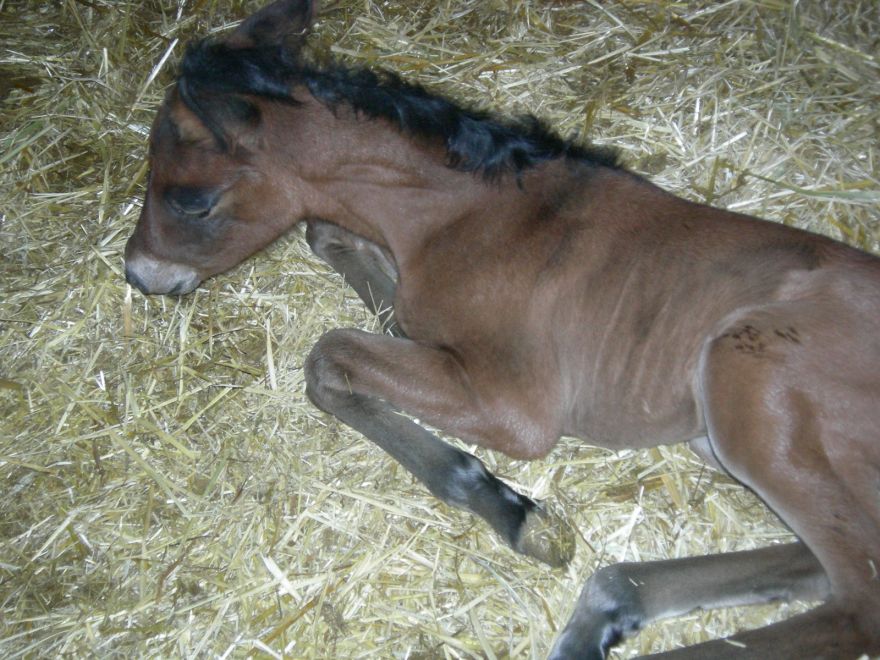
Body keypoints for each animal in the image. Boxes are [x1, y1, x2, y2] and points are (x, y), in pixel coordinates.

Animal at [124, 2, 880, 656]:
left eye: (190, 200)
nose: (137, 273)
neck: (476, 217)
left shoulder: (517, 406)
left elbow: (328, 355)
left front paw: (508, 504)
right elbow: (333, 245)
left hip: (749, 391)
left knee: (855, 605)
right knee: (815, 564)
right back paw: (608, 606)